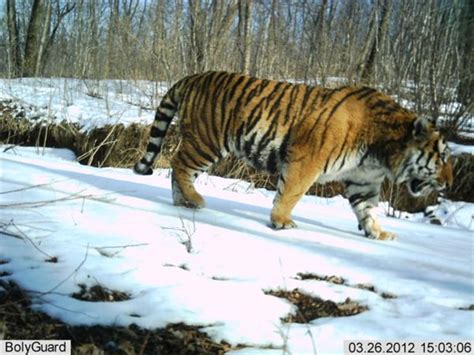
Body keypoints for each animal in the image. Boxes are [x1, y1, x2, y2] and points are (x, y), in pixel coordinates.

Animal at [133, 71, 452, 241]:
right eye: (442, 158)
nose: (448, 183)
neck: (382, 153)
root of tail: (193, 76)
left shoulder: (362, 180)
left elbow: (368, 210)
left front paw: (379, 233)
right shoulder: (307, 159)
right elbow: (291, 192)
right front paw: (281, 221)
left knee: (178, 170)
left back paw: (183, 203)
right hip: (208, 141)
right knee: (178, 164)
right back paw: (194, 200)